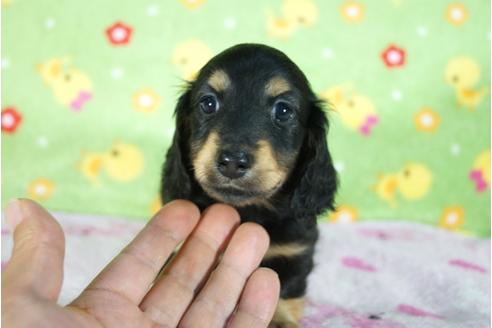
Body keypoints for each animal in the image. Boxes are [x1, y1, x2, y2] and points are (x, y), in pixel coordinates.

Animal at [161, 44, 338, 328]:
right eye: (208, 103)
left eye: (283, 110)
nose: (233, 162)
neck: (248, 210)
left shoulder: (294, 252)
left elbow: (283, 287)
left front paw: (280, 320)